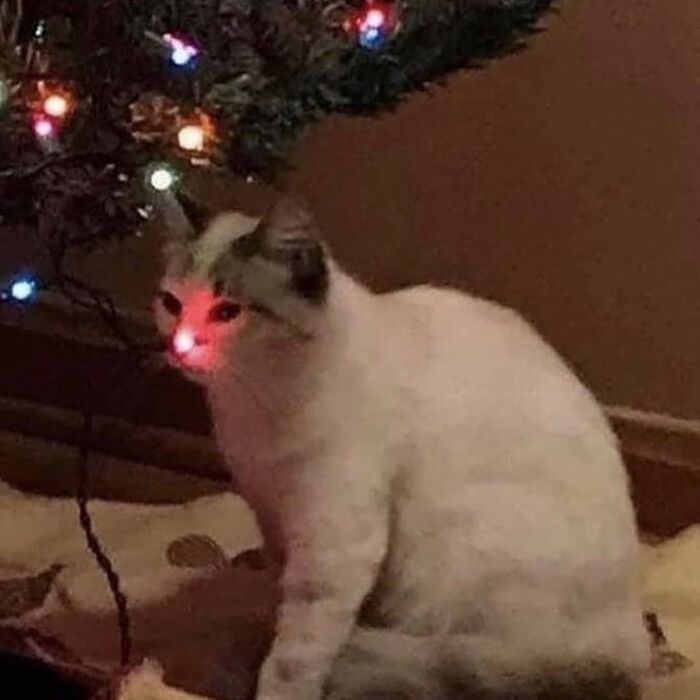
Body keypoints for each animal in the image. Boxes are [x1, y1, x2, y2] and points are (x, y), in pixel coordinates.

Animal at [154, 193, 652, 700]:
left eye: (226, 312)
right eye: (172, 304)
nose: (180, 347)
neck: (253, 405)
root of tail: (633, 640)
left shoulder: (334, 546)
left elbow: (294, 658)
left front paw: (273, 678)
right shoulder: (272, 514)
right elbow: (280, 600)